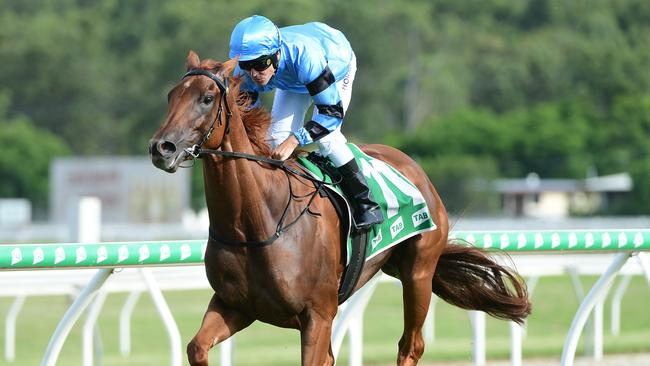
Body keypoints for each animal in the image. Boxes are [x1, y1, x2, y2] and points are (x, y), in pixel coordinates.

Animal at [149, 52, 528, 366]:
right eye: (171, 96)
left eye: (206, 98)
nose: (161, 147)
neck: (257, 223)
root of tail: (412, 166)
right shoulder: (235, 305)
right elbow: (196, 348)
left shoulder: (317, 315)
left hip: (419, 271)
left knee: (411, 346)